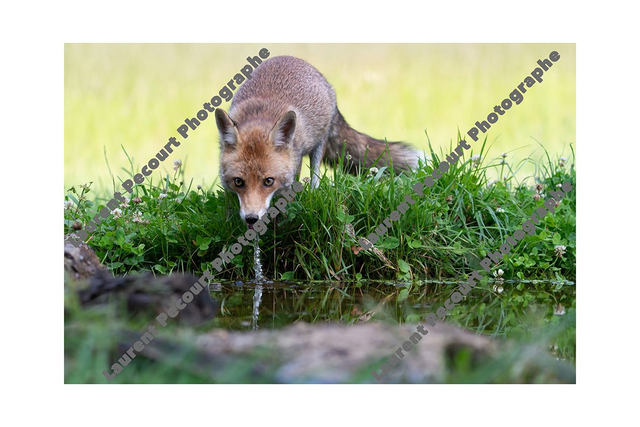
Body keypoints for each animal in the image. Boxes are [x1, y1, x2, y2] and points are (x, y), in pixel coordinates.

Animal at [215, 55, 426, 227]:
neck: (259, 116)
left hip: (319, 144)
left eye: (268, 181)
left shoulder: (296, 162)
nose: (251, 219)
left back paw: (313, 192)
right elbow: (229, 203)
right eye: (238, 181)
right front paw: (229, 220)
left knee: (315, 174)